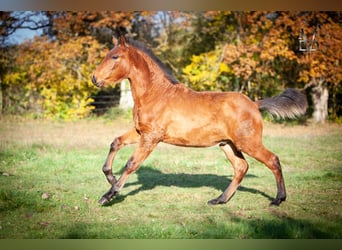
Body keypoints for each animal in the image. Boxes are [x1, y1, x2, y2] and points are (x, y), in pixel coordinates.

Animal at [91, 35, 308, 207]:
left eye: (115, 57)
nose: (94, 78)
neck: (156, 94)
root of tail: (255, 104)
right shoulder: (140, 132)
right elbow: (115, 142)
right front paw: (110, 177)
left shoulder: (151, 137)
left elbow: (131, 163)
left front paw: (108, 195)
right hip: (228, 144)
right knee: (241, 167)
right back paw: (219, 199)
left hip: (248, 143)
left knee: (273, 160)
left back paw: (278, 199)